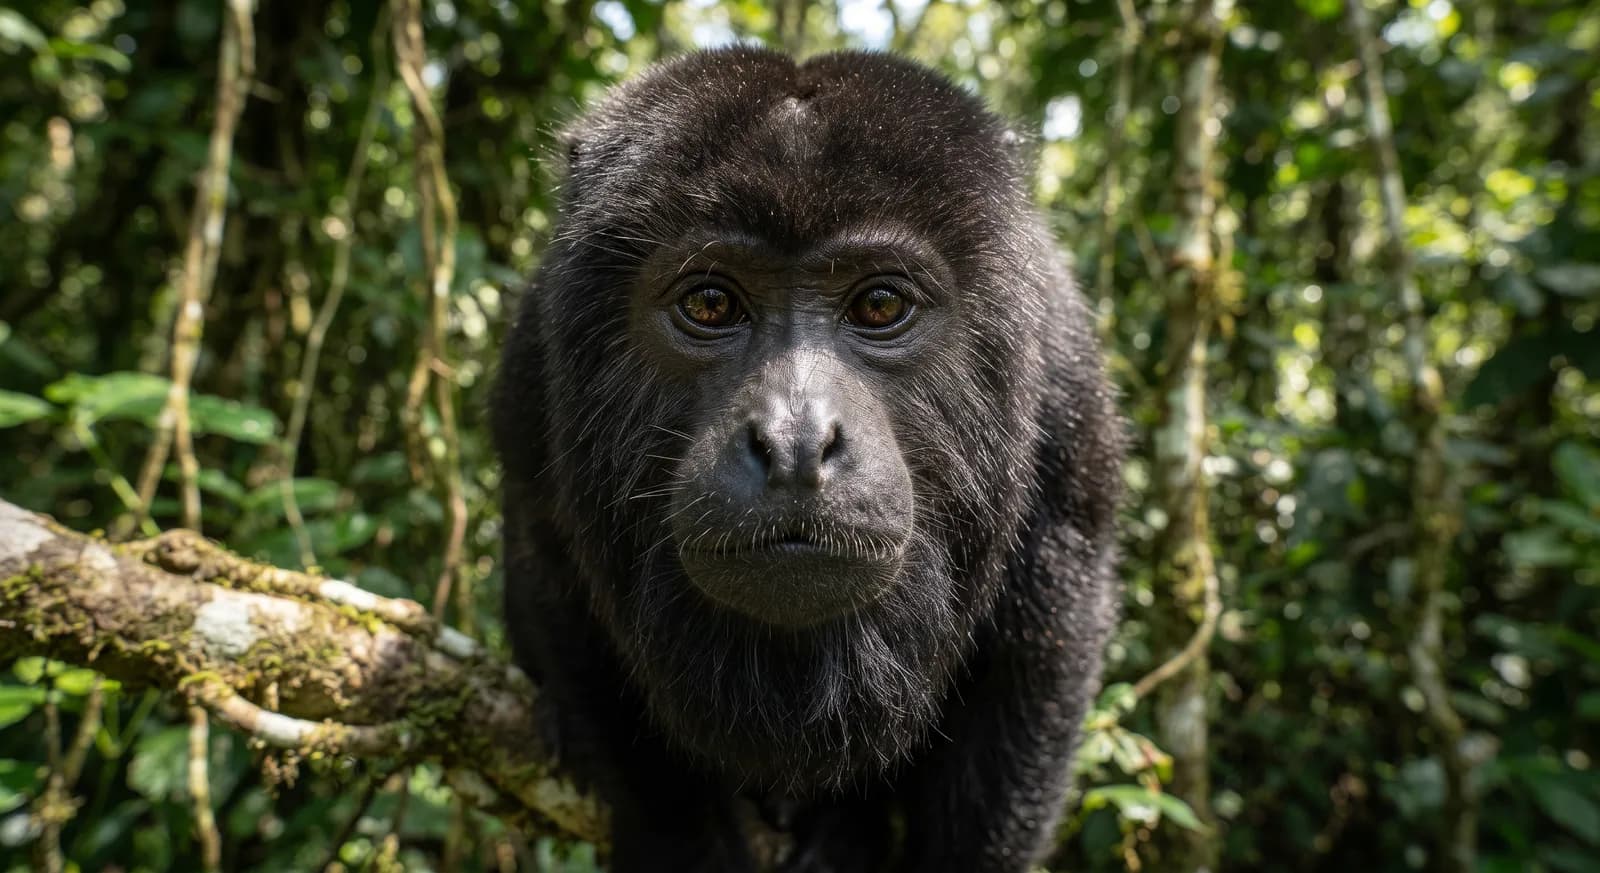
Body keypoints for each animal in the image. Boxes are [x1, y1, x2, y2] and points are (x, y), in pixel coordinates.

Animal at [491, 46, 1124, 873]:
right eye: (711, 304)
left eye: (881, 305)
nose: (795, 442)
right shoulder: (535, 372)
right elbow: (560, 591)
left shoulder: (1062, 384)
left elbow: (1042, 647)